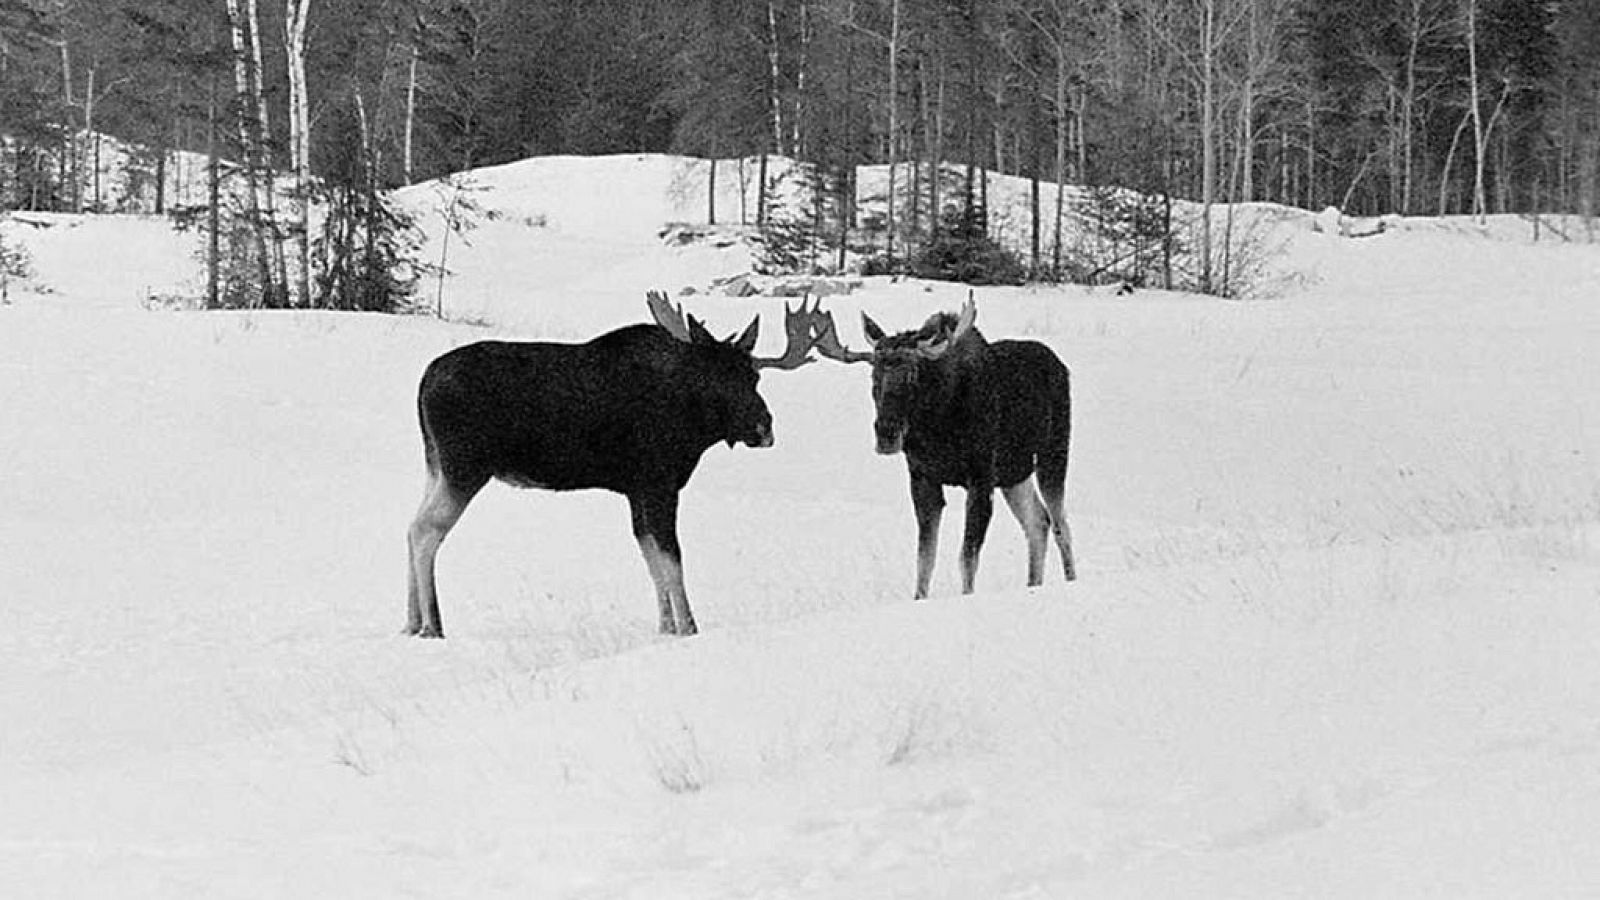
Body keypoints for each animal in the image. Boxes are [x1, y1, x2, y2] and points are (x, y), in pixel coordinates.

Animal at [406, 291, 819, 634]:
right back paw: (432, 625)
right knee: (426, 530)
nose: (763, 427)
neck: (693, 423)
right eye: (713, 380)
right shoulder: (659, 484)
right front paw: (689, 627)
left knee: (411, 526)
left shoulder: (635, 491)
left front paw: (666, 628)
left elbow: (651, 558)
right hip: (465, 467)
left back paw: (411, 622)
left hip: (435, 465)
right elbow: (672, 557)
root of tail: (424, 379)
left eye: (754, 376)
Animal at [812, 297, 1075, 598]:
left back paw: (1069, 579)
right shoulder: (922, 477)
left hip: (1053, 454)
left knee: (1060, 524)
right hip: (1014, 474)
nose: (886, 433)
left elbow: (967, 557)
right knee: (1038, 522)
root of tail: (1062, 366)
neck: (938, 427)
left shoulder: (981, 476)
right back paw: (1033, 584)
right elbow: (925, 557)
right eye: (873, 376)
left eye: (913, 375)